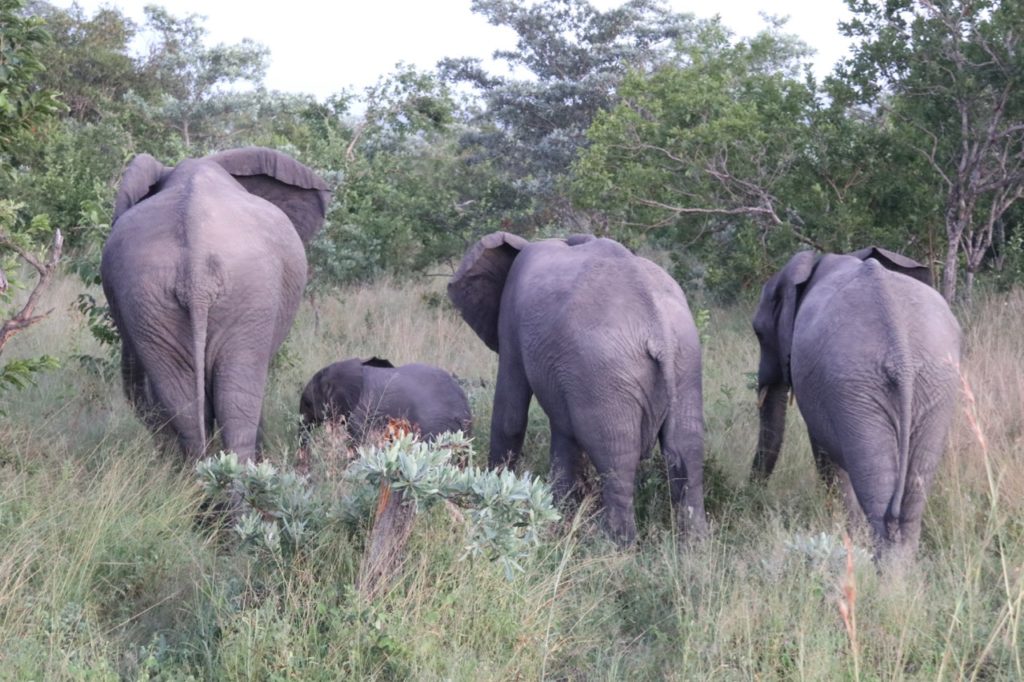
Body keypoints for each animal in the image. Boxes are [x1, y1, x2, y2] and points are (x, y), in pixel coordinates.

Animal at [101, 143, 329, 462]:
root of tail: (195, 269)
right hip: (247, 296)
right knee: (237, 397)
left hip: (151, 299)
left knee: (185, 401)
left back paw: (197, 472)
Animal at [448, 232, 712, 540]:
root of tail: (659, 330)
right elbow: (564, 431)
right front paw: (559, 511)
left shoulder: (511, 319)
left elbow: (510, 416)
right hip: (685, 360)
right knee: (686, 449)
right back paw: (695, 544)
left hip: (608, 372)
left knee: (617, 458)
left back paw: (617, 544)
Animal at [753, 246, 958, 561]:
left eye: (759, 333)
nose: (753, 495)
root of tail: (901, 353)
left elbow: (824, 455)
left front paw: (845, 530)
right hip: (931, 384)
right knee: (911, 492)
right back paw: (899, 570)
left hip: (858, 383)